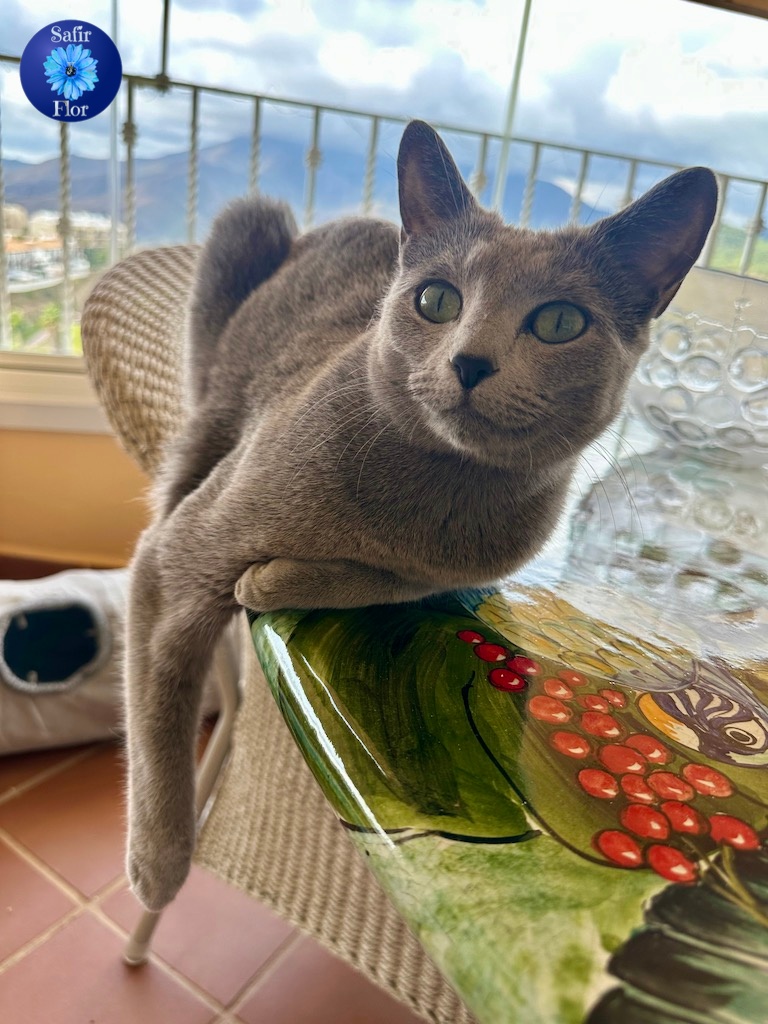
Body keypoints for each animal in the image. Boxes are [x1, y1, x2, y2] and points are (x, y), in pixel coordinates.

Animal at [124, 120, 717, 911]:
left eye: (560, 321)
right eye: (437, 300)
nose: (470, 362)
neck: (429, 497)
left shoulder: (468, 572)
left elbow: (384, 583)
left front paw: (270, 580)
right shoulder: (180, 555)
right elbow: (160, 708)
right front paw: (159, 869)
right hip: (230, 312)